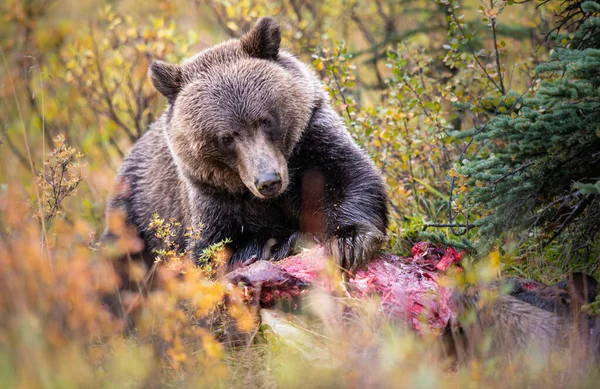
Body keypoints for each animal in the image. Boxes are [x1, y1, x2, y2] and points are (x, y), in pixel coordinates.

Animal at [105, 17, 390, 270]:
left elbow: (349, 180)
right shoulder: (210, 192)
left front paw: (348, 242)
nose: (268, 181)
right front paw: (266, 246)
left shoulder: (312, 139)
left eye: (265, 120)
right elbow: (212, 250)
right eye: (226, 137)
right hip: (131, 212)